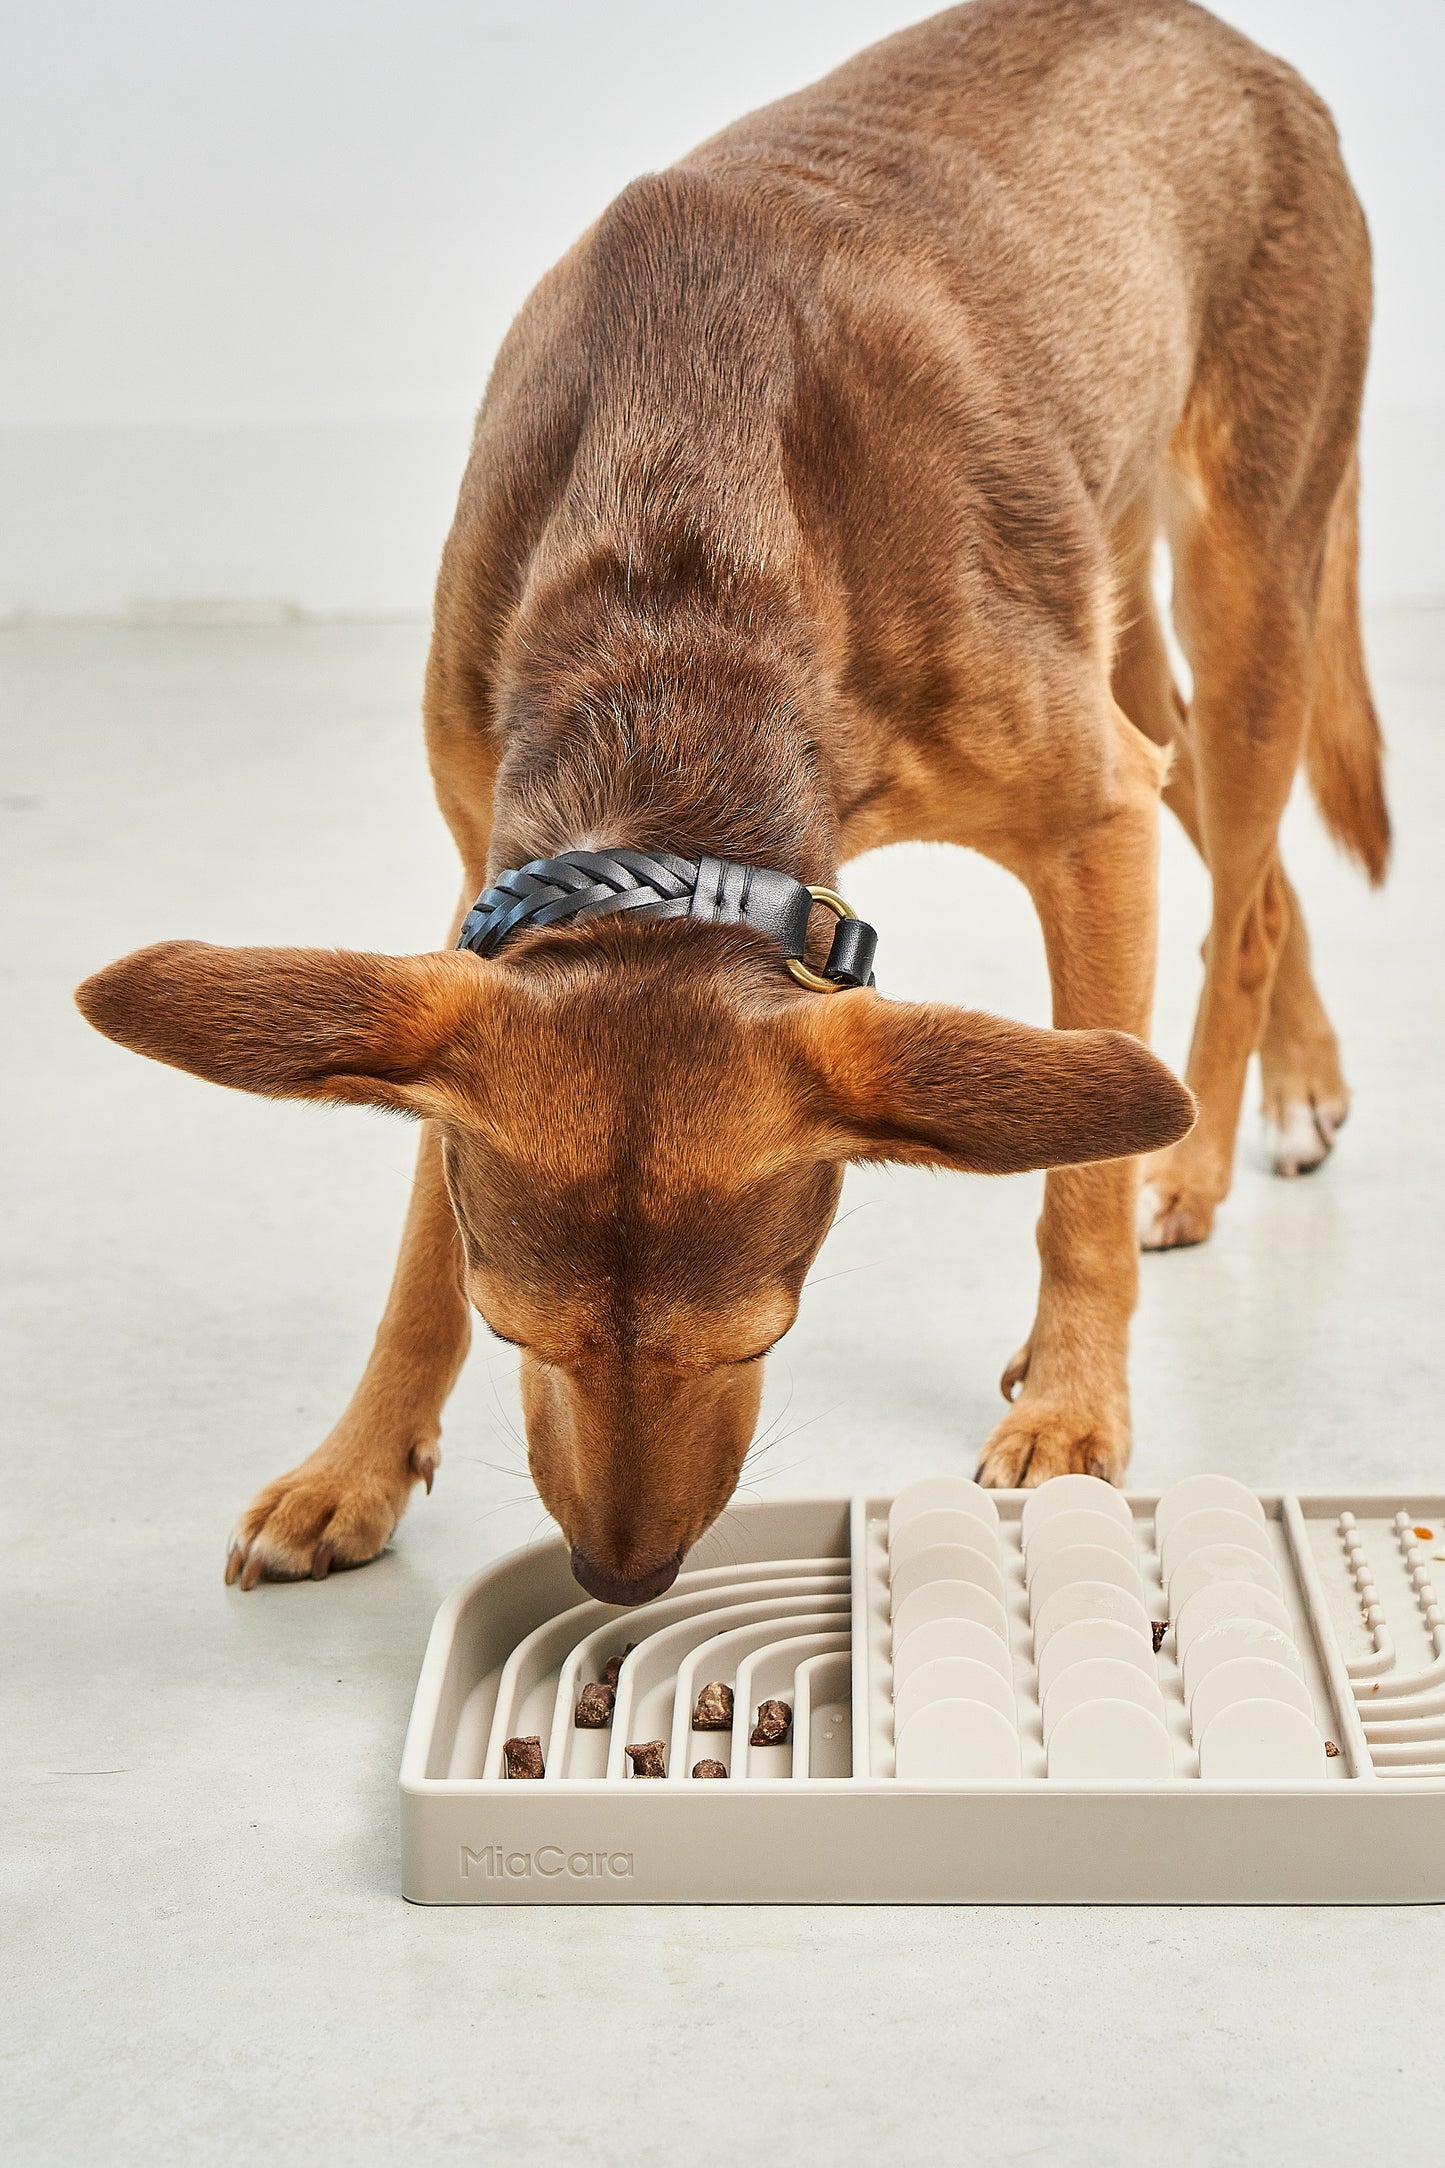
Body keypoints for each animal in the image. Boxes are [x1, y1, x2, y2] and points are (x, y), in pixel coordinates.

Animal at [73, 0, 1386, 1595]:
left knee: (1237, 895)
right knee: (1223, 827)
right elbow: (415, 1250)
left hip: (1245, 580)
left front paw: (1074, 1409)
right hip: (1114, 607)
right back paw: (1294, 1079)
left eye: (762, 1332)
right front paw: (356, 1465)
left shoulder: (1087, 826)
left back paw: (1193, 1160)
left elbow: (1077, 1195)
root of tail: (1225, 41)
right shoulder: (476, 890)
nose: (619, 1579)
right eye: (518, 1328)